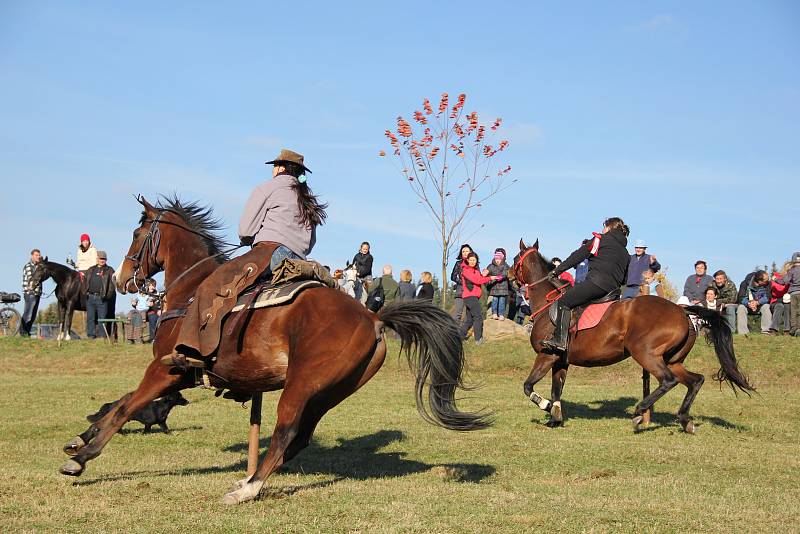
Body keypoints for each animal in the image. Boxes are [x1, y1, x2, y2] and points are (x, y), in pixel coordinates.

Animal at [57, 198, 488, 506]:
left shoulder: (168, 370)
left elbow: (128, 407)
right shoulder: (176, 374)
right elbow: (123, 401)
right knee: (298, 438)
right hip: (329, 392)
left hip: (302, 385)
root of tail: (372, 316)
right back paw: (250, 480)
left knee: (285, 433)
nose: (122, 279)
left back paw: (246, 490)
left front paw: (82, 457)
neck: (191, 292)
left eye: (137, 232)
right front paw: (79, 439)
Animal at [512, 241, 756, 434]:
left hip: (646, 354)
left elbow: (528, 387)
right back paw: (685, 420)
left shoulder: (546, 356)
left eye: (515, 260)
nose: (510, 279)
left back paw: (640, 413)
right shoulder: (560, 361)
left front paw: (545, 406)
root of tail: (683, 311)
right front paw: (555, 419)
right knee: (695, 381)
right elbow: (557, 390)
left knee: (669, 381)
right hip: (673, 360)